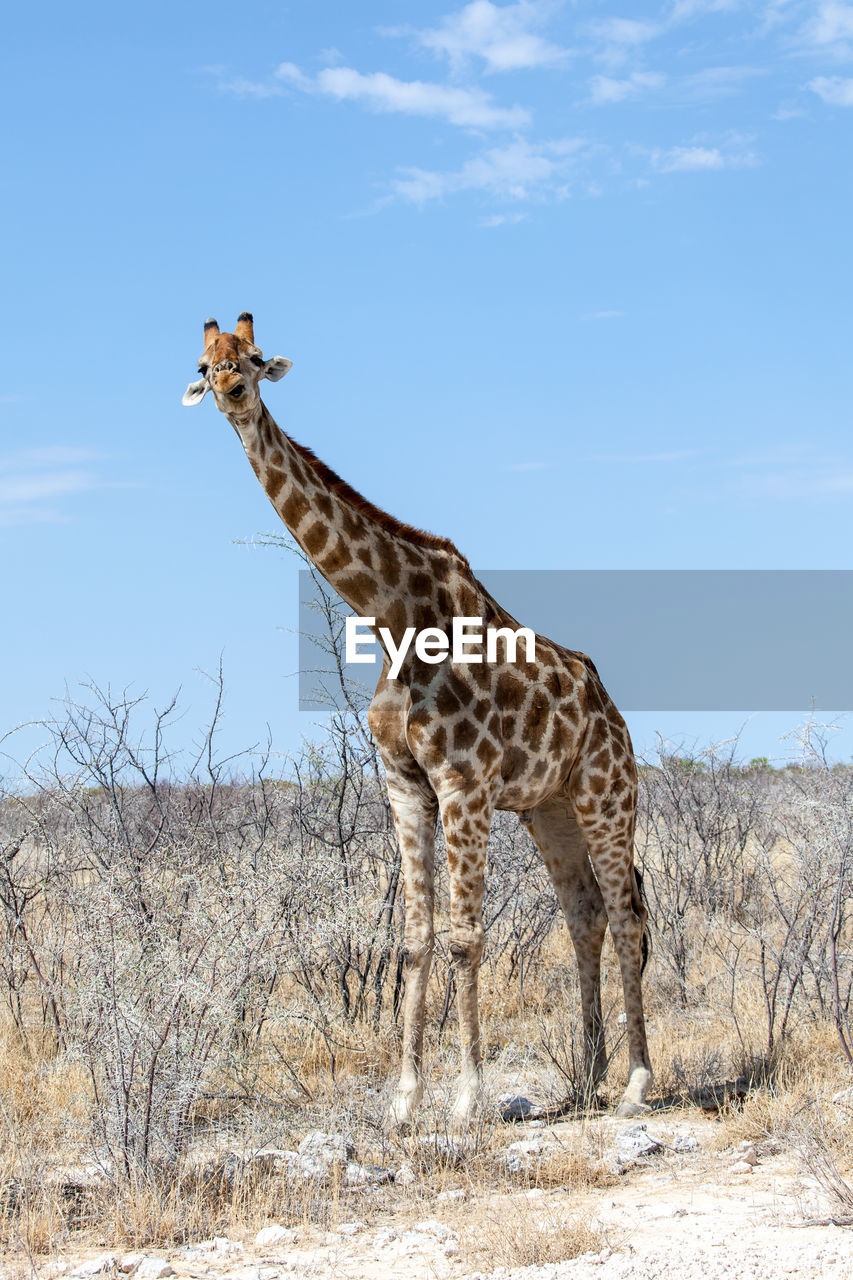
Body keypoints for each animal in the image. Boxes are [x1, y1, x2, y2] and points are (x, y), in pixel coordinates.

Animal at [183, 314, 650, 1126]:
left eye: (253, 359)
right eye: (205, 366)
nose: (233, 393)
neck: (393, 615)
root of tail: (611, 711)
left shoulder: (463, 784)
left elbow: (463, 937)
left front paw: (464, 1099)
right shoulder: (404, 785)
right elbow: (411, 940)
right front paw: (402, 1102)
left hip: (604, 793)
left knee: (625, 915)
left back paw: (635, 1084)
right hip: (549, 807)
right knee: (584, 913)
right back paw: (587, 1079)